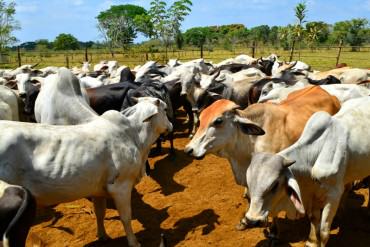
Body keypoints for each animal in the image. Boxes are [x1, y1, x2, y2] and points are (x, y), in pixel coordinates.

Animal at [0, 97, 173, 247]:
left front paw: (102, 236)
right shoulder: (121, 187)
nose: (171, 125)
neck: (134, 136)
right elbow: (126, 217)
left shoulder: (98, 190)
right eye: (165, 109)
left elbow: (100, 213)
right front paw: (134, 242)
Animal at [244, 96, 370, 247]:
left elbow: (324, 231)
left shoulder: (333, 195)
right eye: (249, 184)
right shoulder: (313, 193)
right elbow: (314, 219)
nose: (251, 220)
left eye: (274, 185)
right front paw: (312, 241)